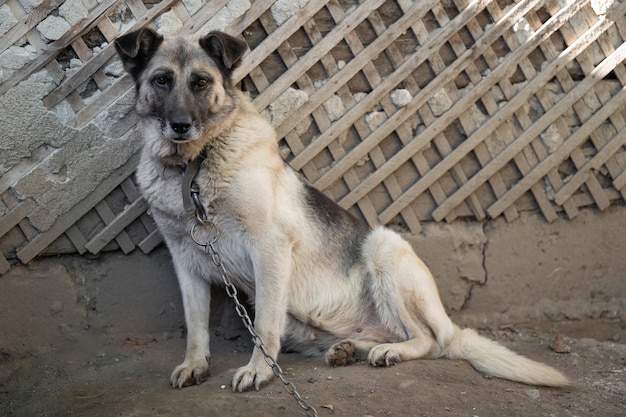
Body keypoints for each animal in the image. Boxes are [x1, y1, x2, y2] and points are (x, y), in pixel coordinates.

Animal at [114, 27, 568, 392]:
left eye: (201, 82)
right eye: (161, 80)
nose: (180, 125)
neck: (194, 167)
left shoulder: (269, 247)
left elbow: (263, 324)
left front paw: (259, 370)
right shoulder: (186, 259)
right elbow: (195, 325)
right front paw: (195, 365)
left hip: (385, 247)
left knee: (430, 341)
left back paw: (390, 352)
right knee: (388, 335)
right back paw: (352, 348)